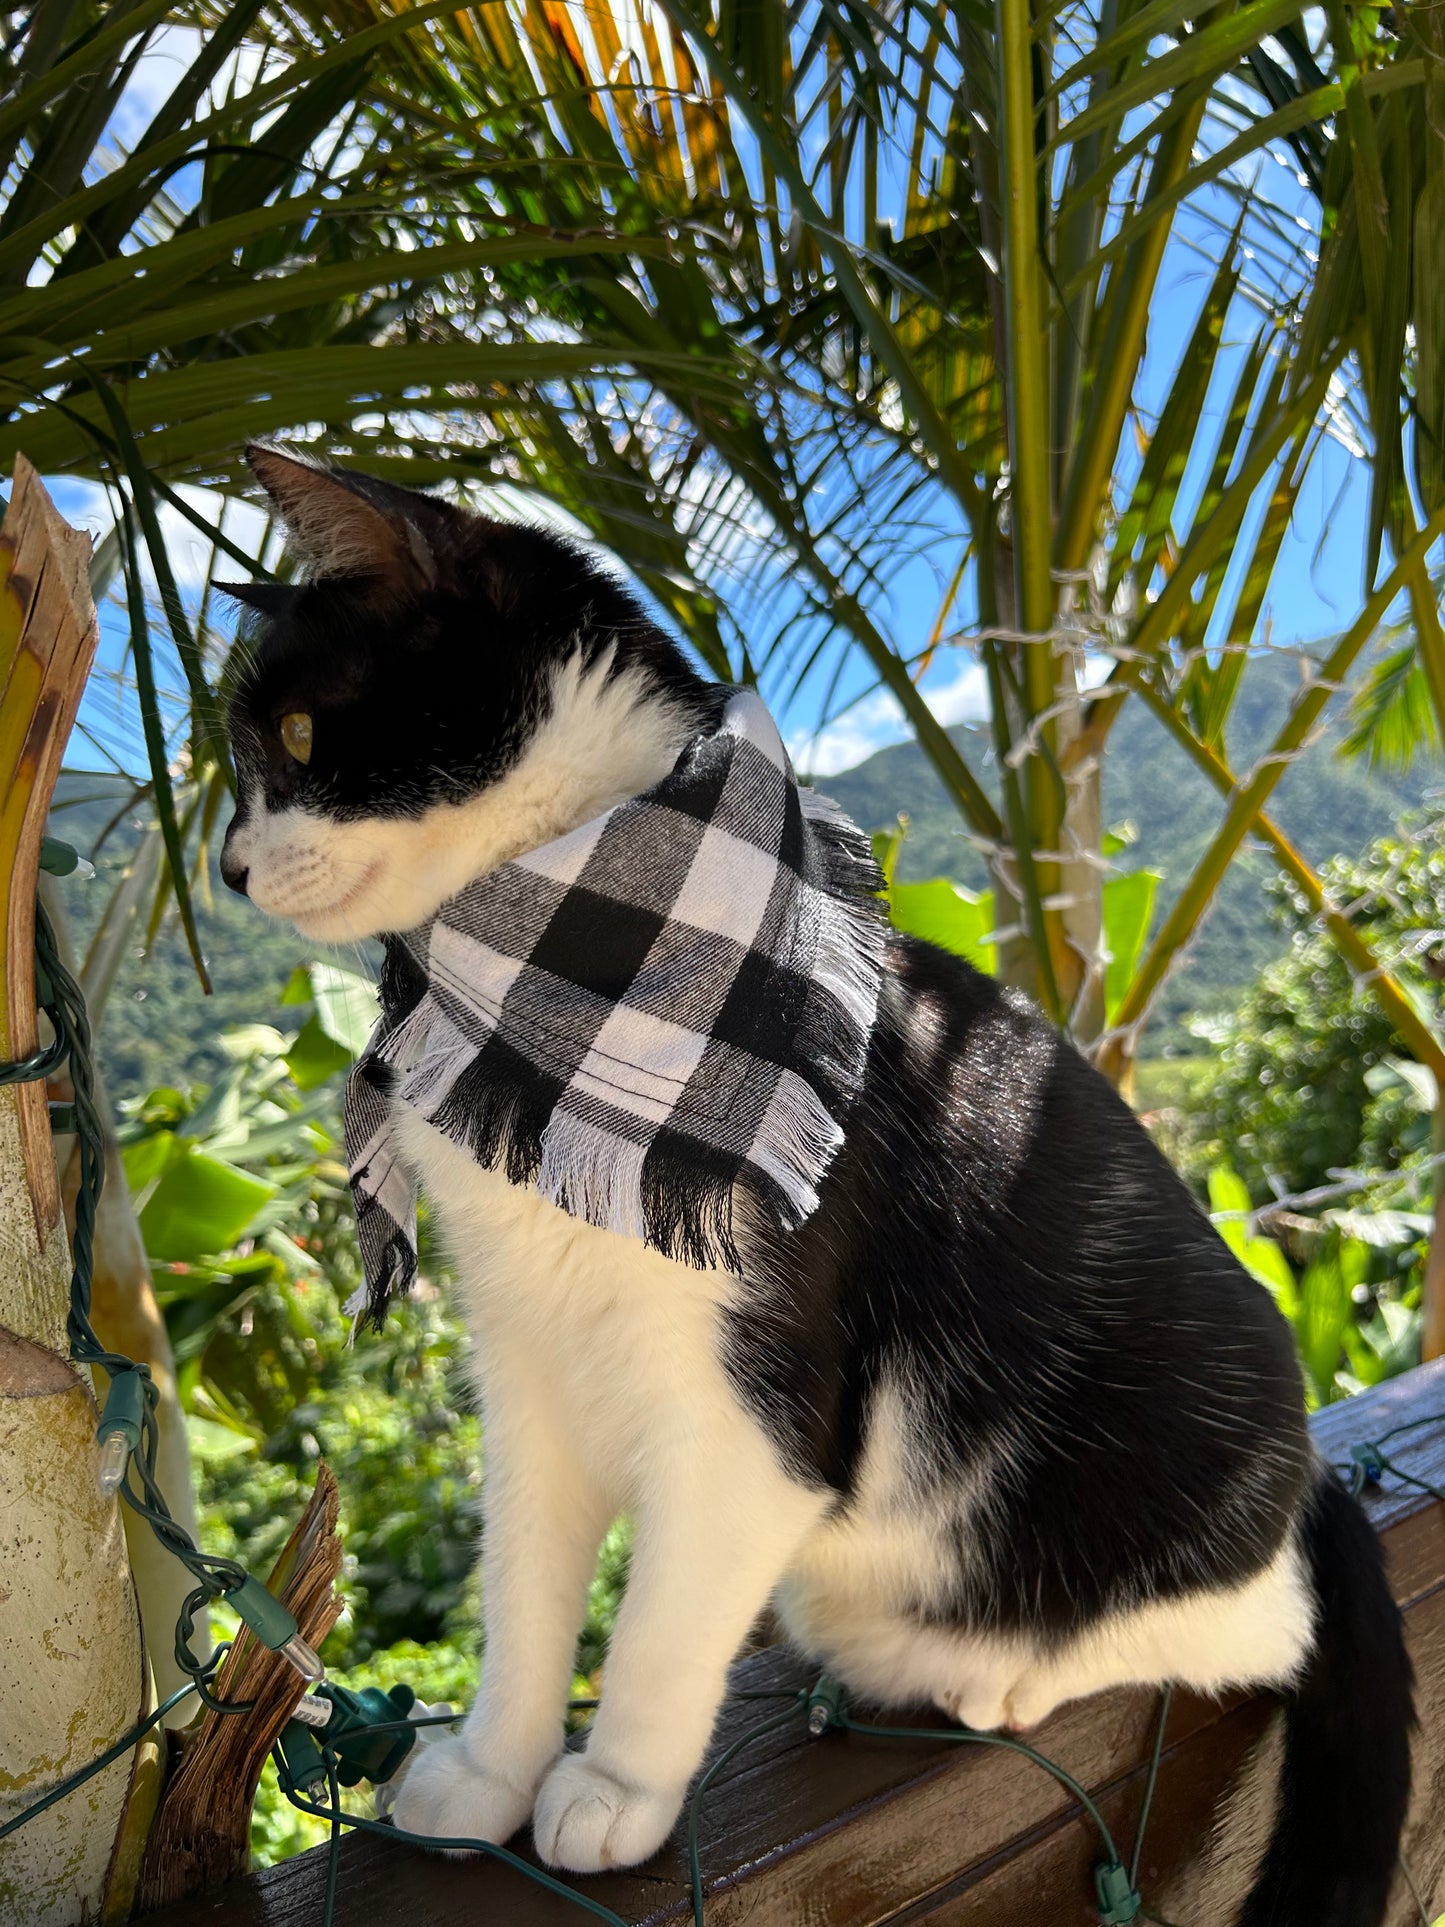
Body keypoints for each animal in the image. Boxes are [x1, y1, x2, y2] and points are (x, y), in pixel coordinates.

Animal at [226, 447, 1418, 1927]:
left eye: (297, 738)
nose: (227, 861)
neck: (565, 974)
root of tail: (1306, 1474)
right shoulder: (526, 1360)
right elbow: (522, 1583)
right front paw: (492, 1768)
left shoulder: (756, 1402)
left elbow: (664, 1617)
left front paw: (616, 1782)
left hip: (1188, 1407)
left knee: (1252, 1622)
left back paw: (1000, 1667)